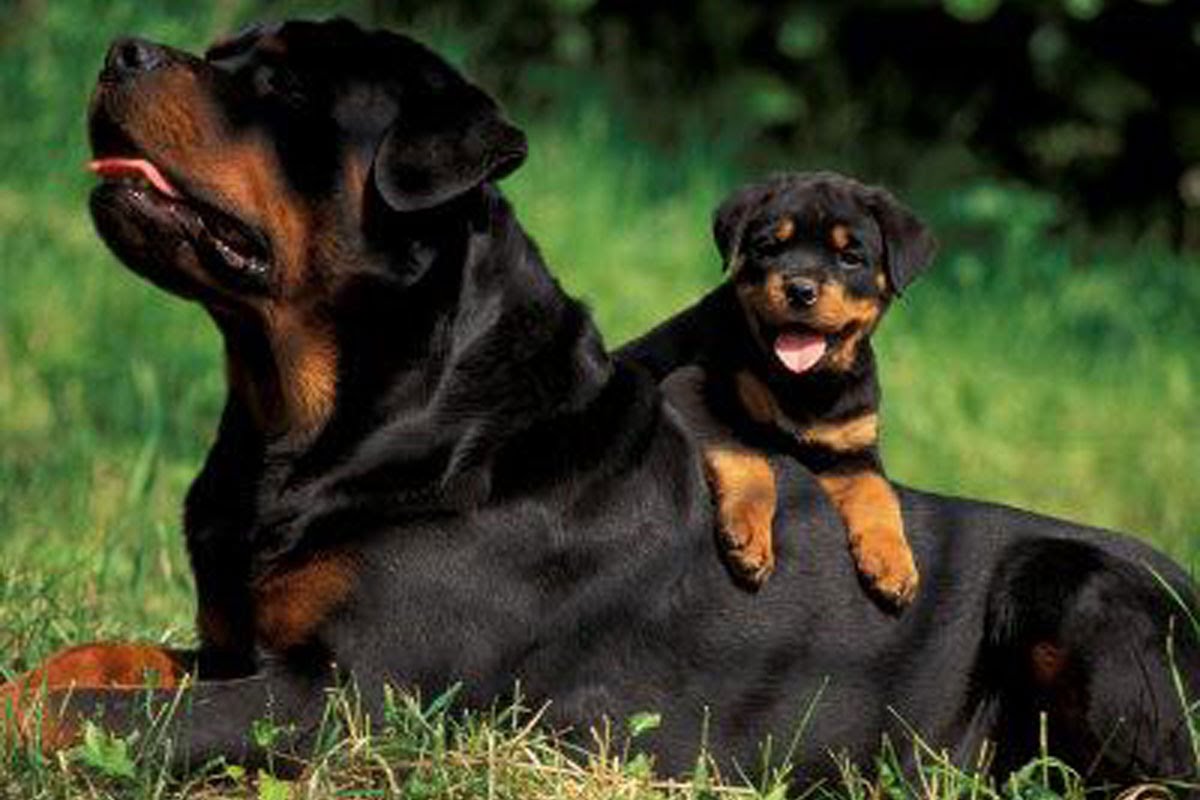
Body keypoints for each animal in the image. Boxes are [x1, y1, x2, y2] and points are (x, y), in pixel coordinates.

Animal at [667, 172, 936, 604]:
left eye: (850, 258)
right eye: (768, 248)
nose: (800, 289)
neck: (808, 386)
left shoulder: (854, 448)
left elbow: (878, 493)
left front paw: (893, 563)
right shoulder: (692, 387)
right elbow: (748, 456)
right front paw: (748, 533)